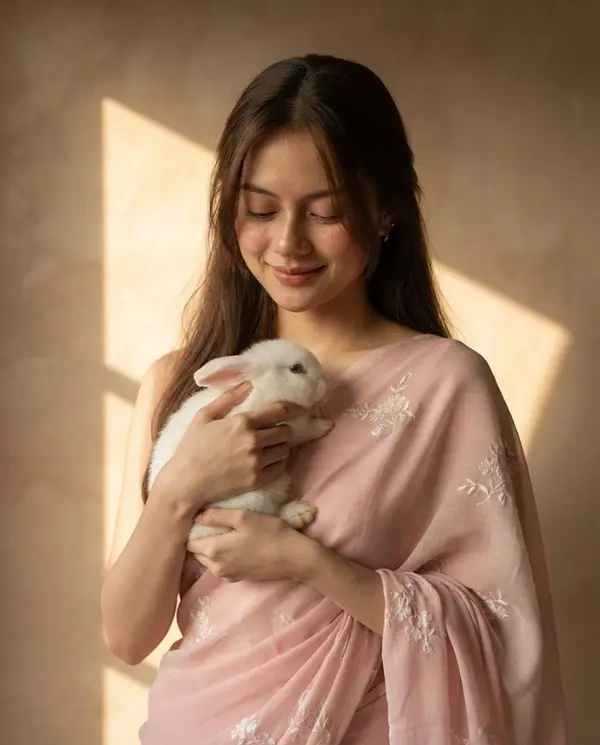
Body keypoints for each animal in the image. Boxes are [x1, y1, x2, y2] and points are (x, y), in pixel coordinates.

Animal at [147, 339, 333, 541]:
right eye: (296, 368)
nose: (324, 382)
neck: (263, 388)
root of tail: (193, 535)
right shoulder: (291, 429)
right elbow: (308, 429)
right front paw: (326, 425)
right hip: (255, 498)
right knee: (271, 516)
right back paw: (300, 513)